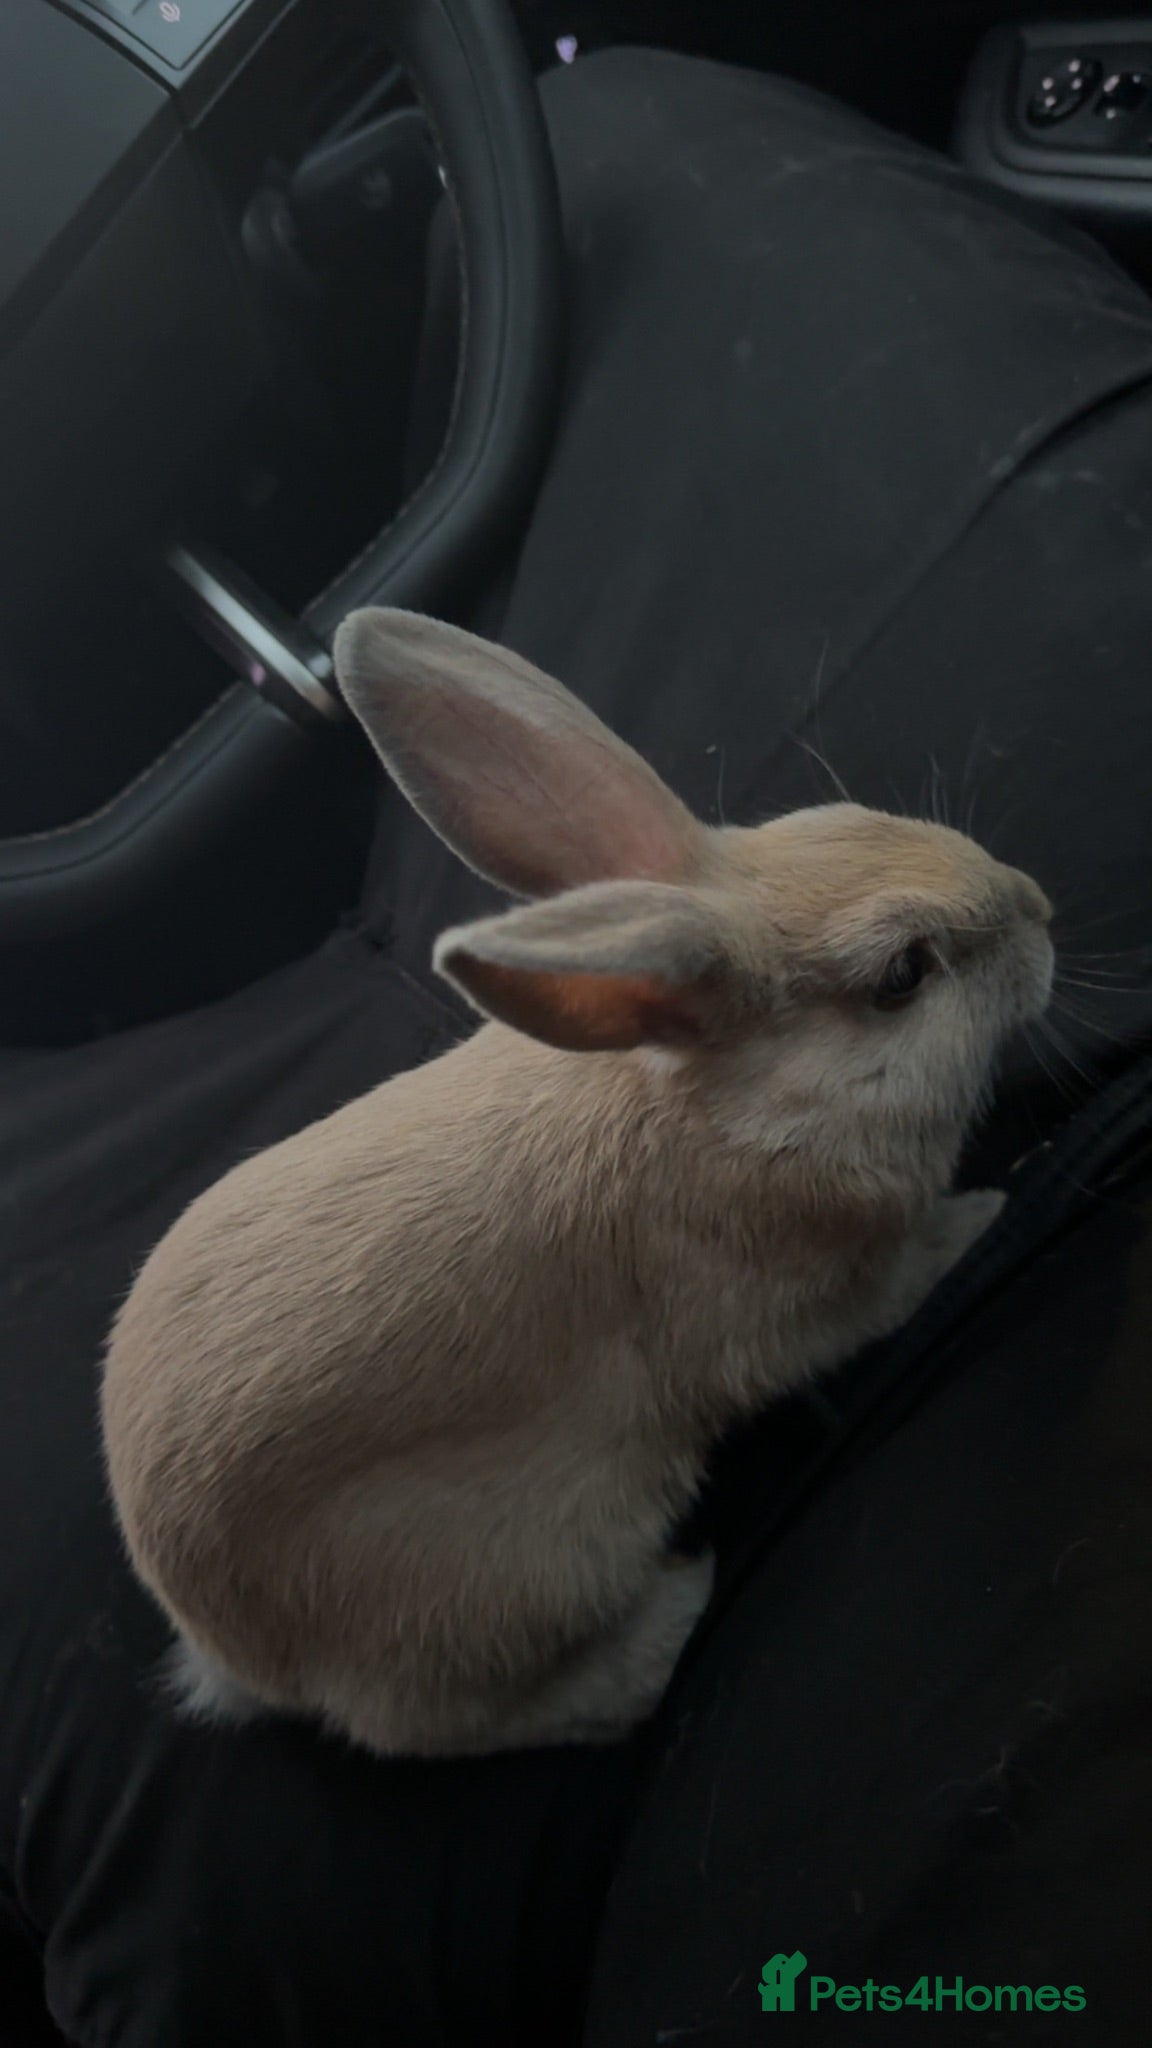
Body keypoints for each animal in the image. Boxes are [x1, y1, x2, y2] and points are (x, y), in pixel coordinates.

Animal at [101, 607, 1054, 1759]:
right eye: (902, 975)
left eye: (851, 814)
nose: (1041, 908)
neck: (722, 1107)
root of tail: (229, 1653)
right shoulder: (794, 1307)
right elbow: (894, 1284)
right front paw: (987, 1209)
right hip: (520, 1570)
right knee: (442, 1720)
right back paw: (673, 1611)